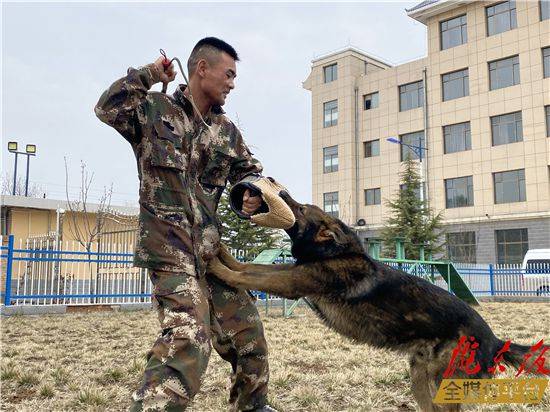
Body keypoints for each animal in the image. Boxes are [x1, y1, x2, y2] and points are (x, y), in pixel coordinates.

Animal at [210, 193, 540, 412]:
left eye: (301, 208)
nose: (280, 191)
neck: (337, 251)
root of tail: (495, 341)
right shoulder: (292, 273)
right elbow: (250, 267)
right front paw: (222, 253)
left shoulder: (292, 281)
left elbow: (249, 276)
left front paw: (216, 267)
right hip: (421, 379)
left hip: (443, 384)